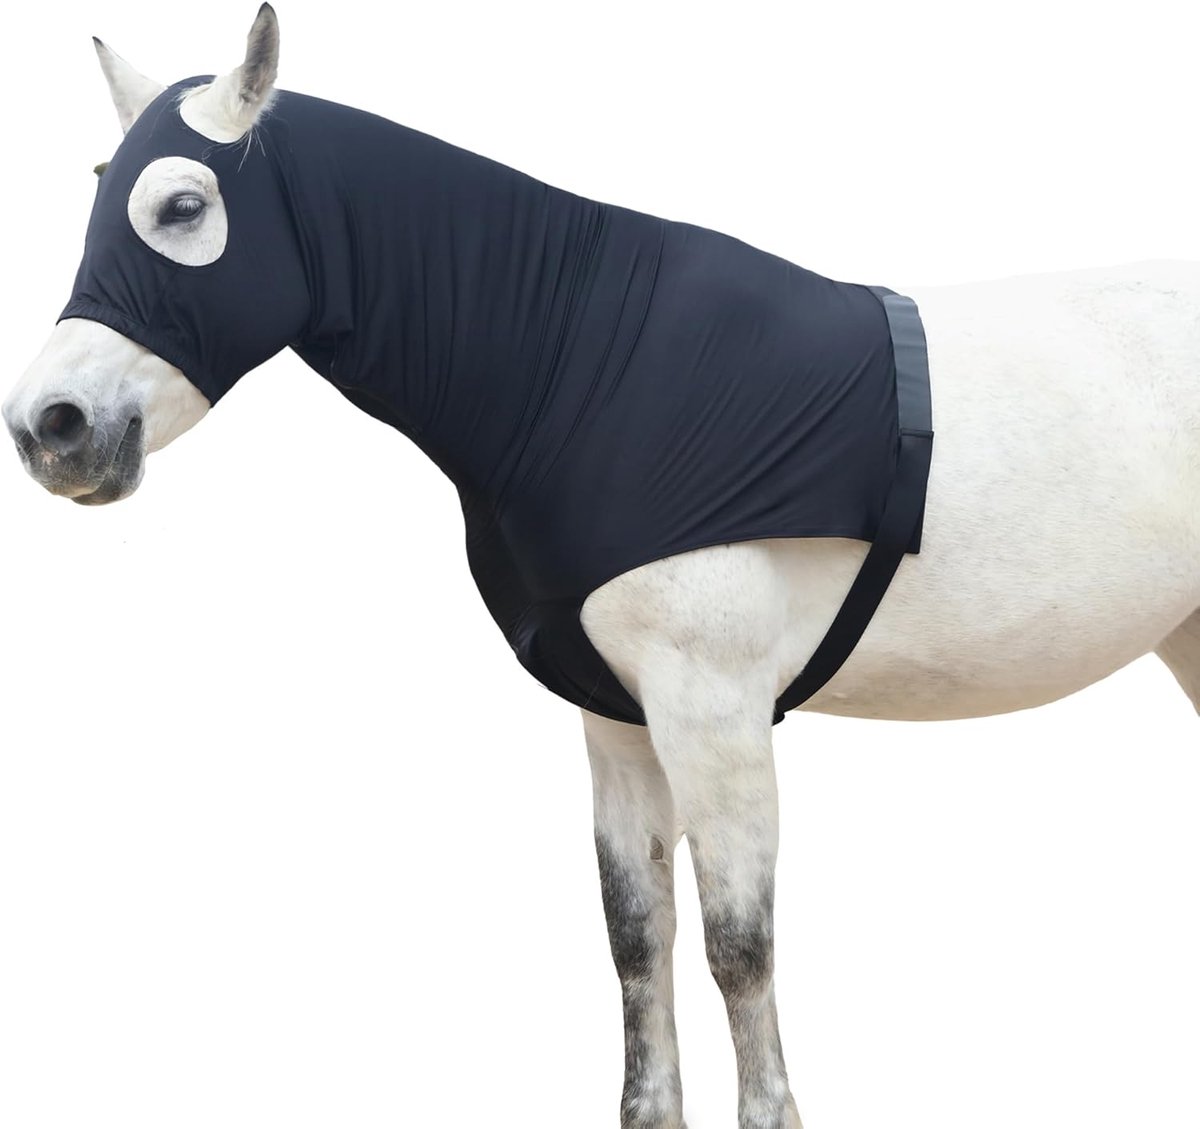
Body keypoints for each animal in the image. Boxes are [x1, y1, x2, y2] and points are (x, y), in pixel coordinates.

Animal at [5, 7, 1200, 1129]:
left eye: (181, 209)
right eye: (98, 190)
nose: (49, 428)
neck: (587, 365)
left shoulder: (715, 712)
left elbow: (737, 944)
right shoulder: (616, 716)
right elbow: (638, 934)